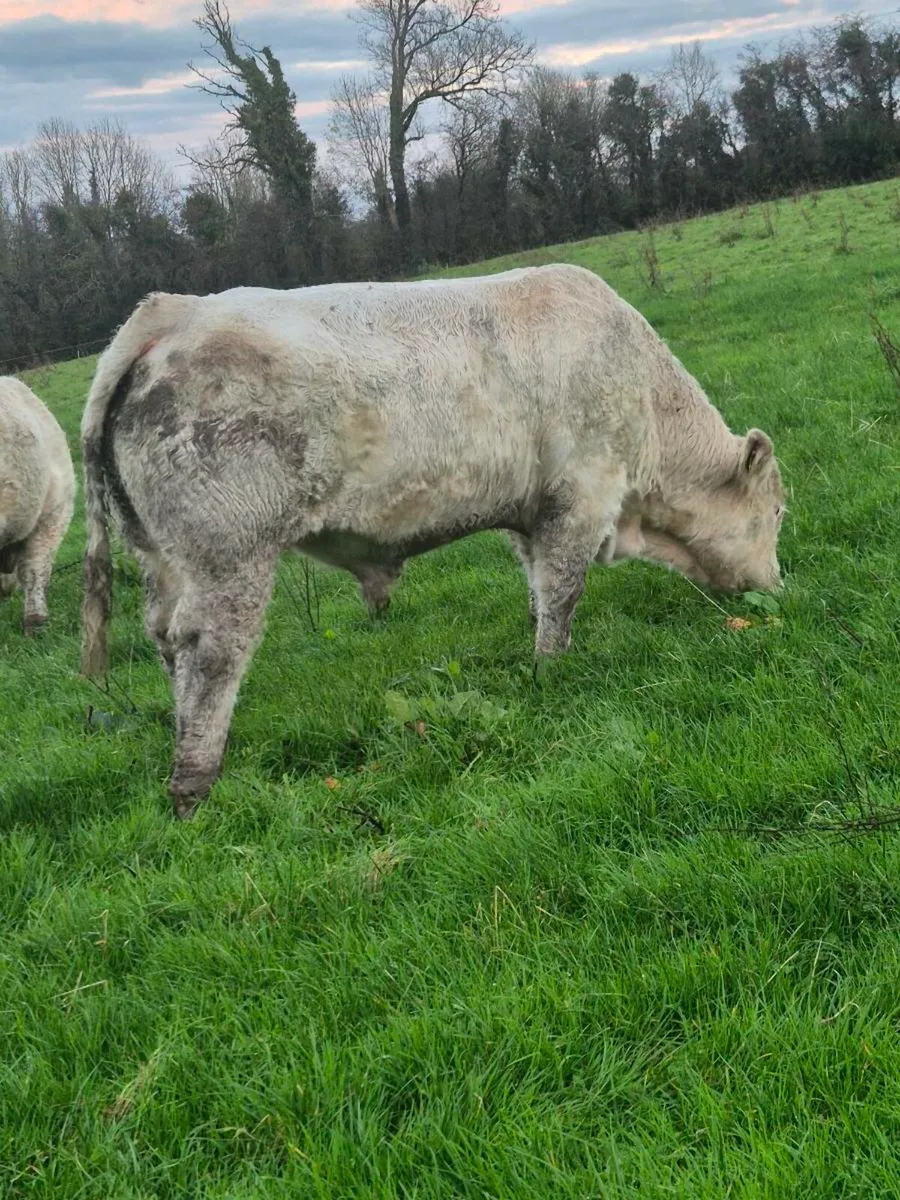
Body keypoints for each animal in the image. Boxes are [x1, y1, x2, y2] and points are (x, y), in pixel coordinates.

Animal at [80, 264, 784, 818]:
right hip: (231, 554)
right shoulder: (582, 493)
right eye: (777, 512)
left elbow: (537, 583)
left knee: (165, 637)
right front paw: (552, 671)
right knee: (210, 651)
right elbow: (562, 591)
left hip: (161, 556)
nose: (779, 588)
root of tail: (170, 315)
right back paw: (195, 783)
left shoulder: (532, 513)